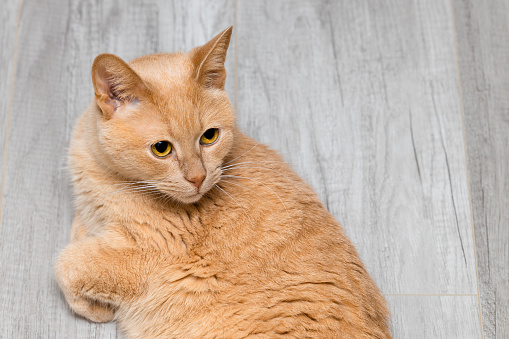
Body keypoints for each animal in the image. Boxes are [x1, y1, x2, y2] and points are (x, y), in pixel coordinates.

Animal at [54, 25, 388, 338]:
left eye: (209, 136)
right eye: (161, 148)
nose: (198, 177)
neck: (105, 173)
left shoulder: (153, 252)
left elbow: (67, 263)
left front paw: (96, 309)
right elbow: (77, 237)